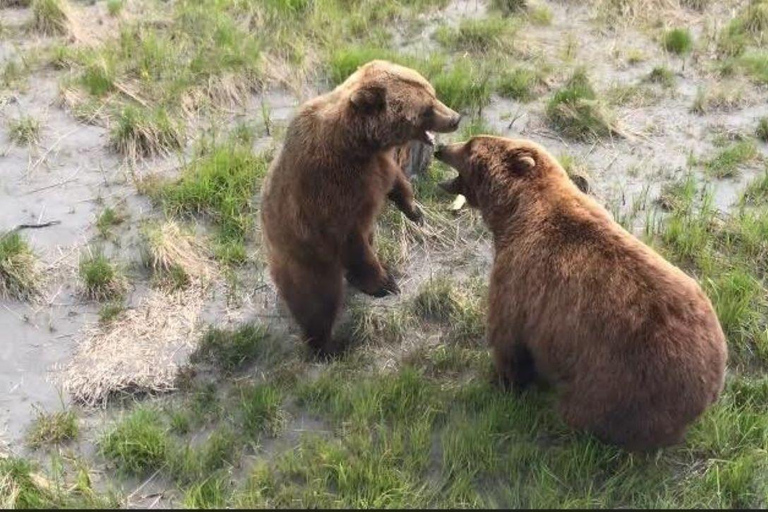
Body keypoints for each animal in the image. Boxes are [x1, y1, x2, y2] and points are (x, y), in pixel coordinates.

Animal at [260, 60, 461, 355]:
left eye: (432, 92)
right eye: (426, 108)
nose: (455, 118)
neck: (359, 144)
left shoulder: (377, 166)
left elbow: (395, 183)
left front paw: (415, 212)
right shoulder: (328, 190)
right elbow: (350, 240)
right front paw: (385, 283)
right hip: (304, 259)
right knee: (317, 302)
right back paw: (326, 346)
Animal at [434, 135, 727, 451]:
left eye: (470, 146)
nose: (440, 148)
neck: (514, 213)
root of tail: (710, 389)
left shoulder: (518, 278)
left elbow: (507, 336)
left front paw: (503, 381)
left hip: (619, 383)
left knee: (587, 413)